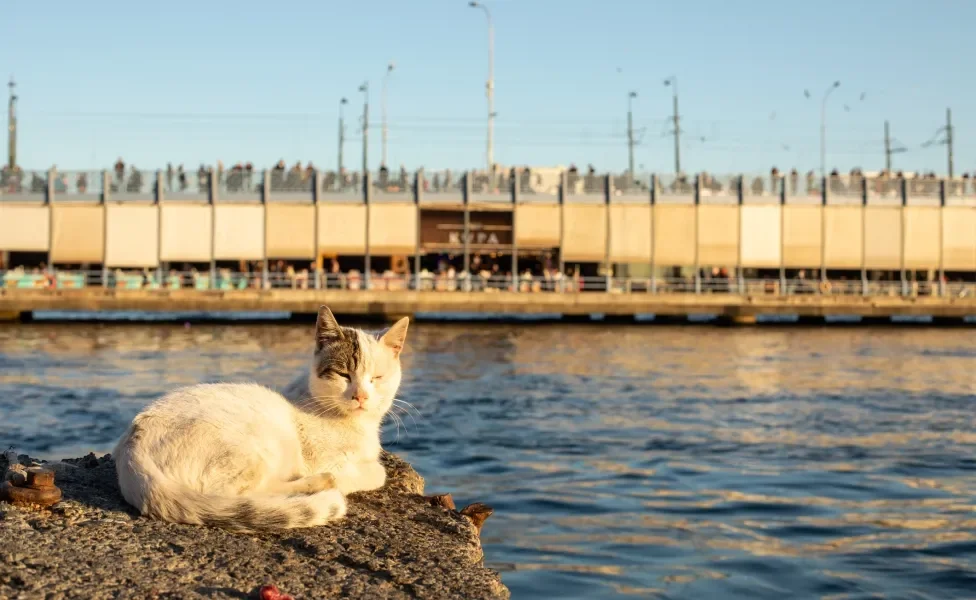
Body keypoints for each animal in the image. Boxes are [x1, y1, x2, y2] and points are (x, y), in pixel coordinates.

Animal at [116, 308, 410, 532]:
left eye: (377, 378)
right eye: (343, 375)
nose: (360, 396)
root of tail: (131, 447)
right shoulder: (330, 462)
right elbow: (377, 472)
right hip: (255, 449)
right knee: (242, 495)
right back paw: (317, 485)